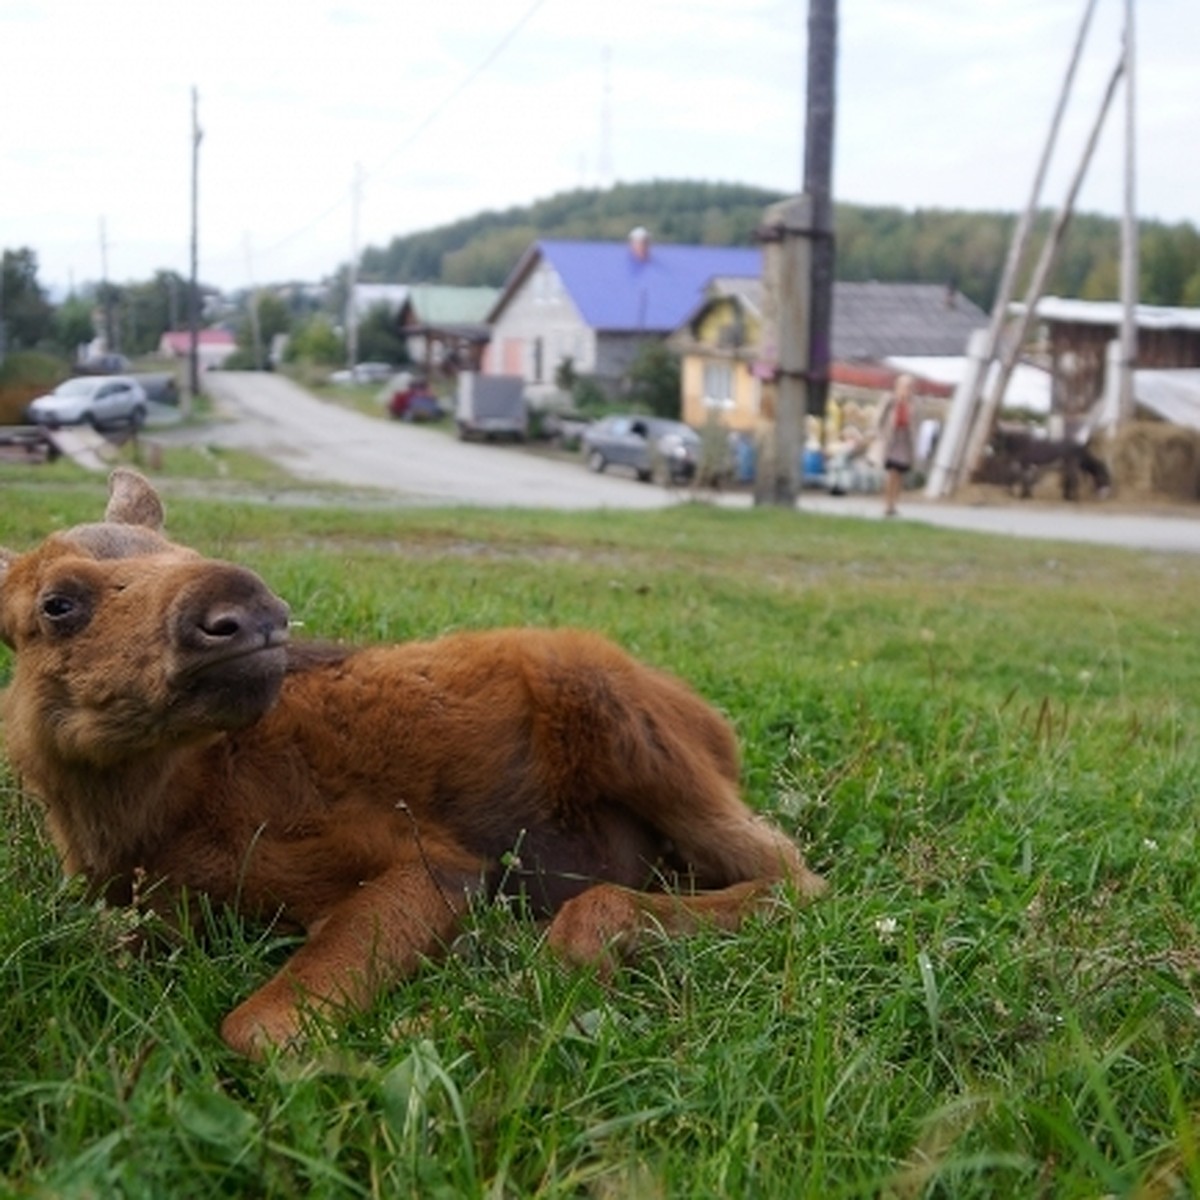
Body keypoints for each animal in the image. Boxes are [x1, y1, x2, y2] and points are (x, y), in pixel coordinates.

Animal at [0, 468, 825, 1051]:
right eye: (57, 604)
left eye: (191, 553)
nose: (252, 607)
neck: (152, 827)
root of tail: (719, 729)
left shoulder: (429, 861)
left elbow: (260, 1029)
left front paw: (425, 1031)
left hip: (625, 723)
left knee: (793, 878)